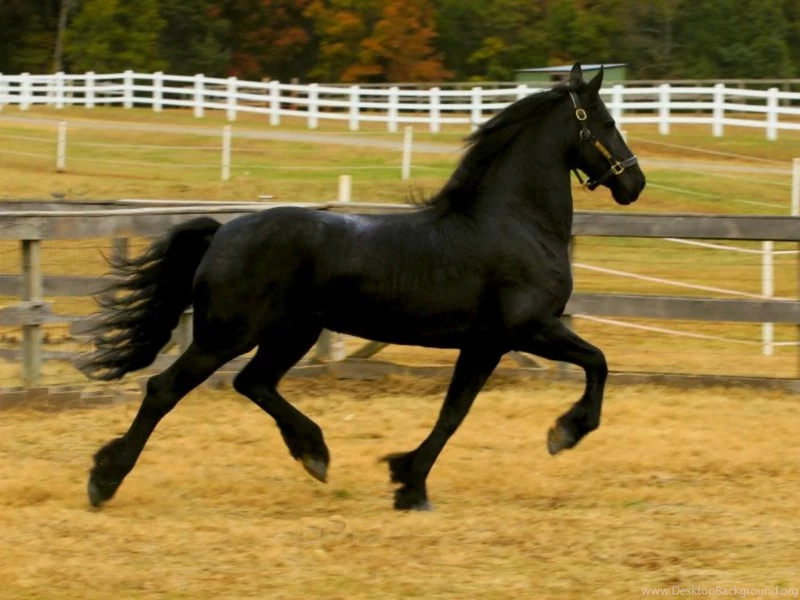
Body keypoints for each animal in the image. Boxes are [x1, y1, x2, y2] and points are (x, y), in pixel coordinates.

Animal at [81, 63, 645, 512]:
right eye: (606, 122)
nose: (634, 183)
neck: (512, 222)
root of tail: (223, 233)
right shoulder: (529, 330)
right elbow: (596, 363)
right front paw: (564, 433)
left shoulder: (484, 344)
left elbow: (453, 412)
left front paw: (408, 482)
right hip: (226, 336)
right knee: (165, 389)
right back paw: (104, 481)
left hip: (292, 334)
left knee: (254, 383)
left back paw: (314, 453)